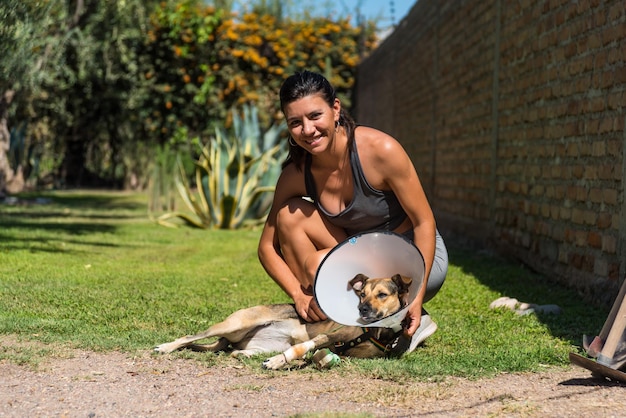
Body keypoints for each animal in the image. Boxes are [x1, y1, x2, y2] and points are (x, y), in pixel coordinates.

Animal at [154, 274, 412, 370]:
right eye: (362, 294)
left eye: (382, 294)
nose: (361, 309)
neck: (376, 330)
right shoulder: (330, 336)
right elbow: (304, 347)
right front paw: (280, 362)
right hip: (233, 324)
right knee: (189, 337)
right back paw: (165, 347)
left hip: (259, 344)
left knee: (233, 352)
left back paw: (245, 354)